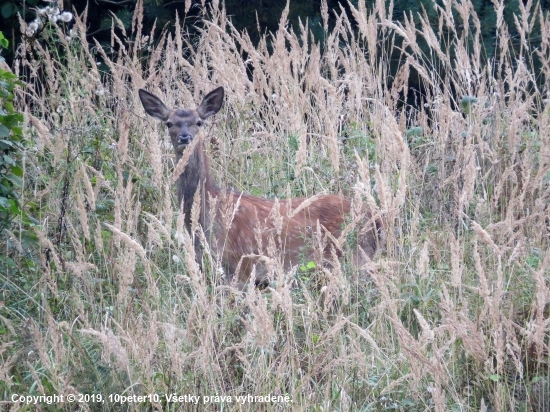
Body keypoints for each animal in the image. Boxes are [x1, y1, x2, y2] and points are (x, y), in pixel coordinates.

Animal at [140, 85, 386, 288]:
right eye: (169, 123)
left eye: (199, 122)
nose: (184, 137)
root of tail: (375, 217)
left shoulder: (239, 266)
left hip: (355, 257)